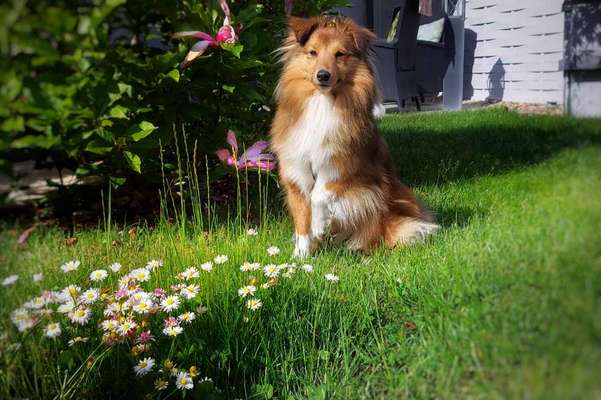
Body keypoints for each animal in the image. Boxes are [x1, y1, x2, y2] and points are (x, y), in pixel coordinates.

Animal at [270, 15, 436, 258]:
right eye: (312, 52)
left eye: (340, 54)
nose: (322, 75)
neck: (322, 103)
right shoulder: (296, 171)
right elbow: (302, 218)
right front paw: (300, 257)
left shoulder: (345, 166)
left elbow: (318, 195)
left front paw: (318, 226)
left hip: (378, 197)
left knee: (376, 237)